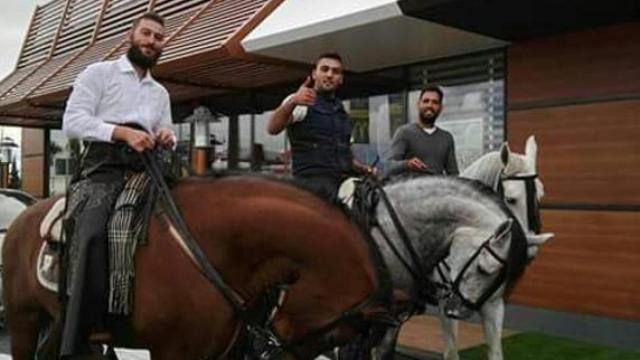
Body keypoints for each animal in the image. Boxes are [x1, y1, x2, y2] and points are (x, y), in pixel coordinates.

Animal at [2, 176, 388, 358]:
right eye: (334, 336)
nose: (275, 354)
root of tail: (24, 216)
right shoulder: (171, 351)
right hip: (24, 316)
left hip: (61, 321)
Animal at [436, 136, 556, 360]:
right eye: (510, 199)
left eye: (541, 195)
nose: (530, 249)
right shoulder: (445, 306)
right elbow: (451, 352)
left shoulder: (493, 305)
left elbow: (495, 352)